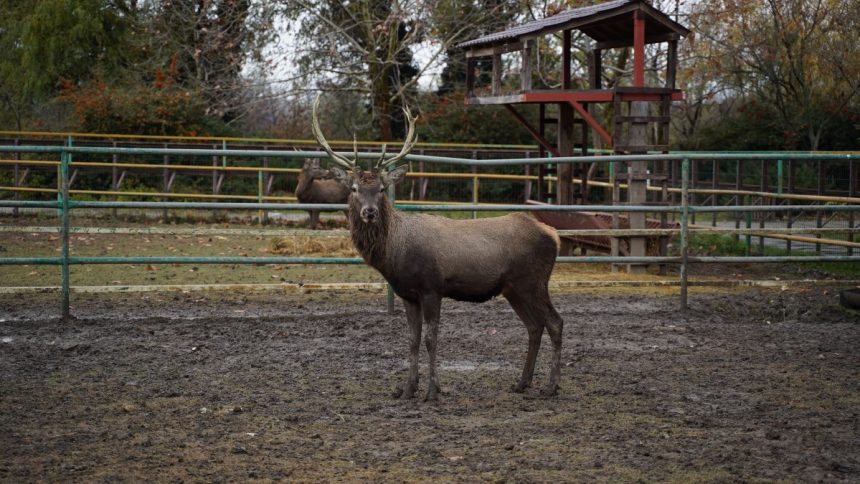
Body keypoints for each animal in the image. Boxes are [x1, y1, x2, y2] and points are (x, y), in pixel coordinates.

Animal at [310, 95, 564, 400]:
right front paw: (408, 388)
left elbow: (431, 338)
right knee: (534, 326)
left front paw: (433, 390)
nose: (369, 212)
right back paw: (522, 382)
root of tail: (554, 235)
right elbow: (412, 339)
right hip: (513, 288)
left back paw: (551, 386)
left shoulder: (432, 288)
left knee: (555, 322)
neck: (394, 255)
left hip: (534, 281)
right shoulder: (408, 294)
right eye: (354, 188)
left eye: (381, 189)